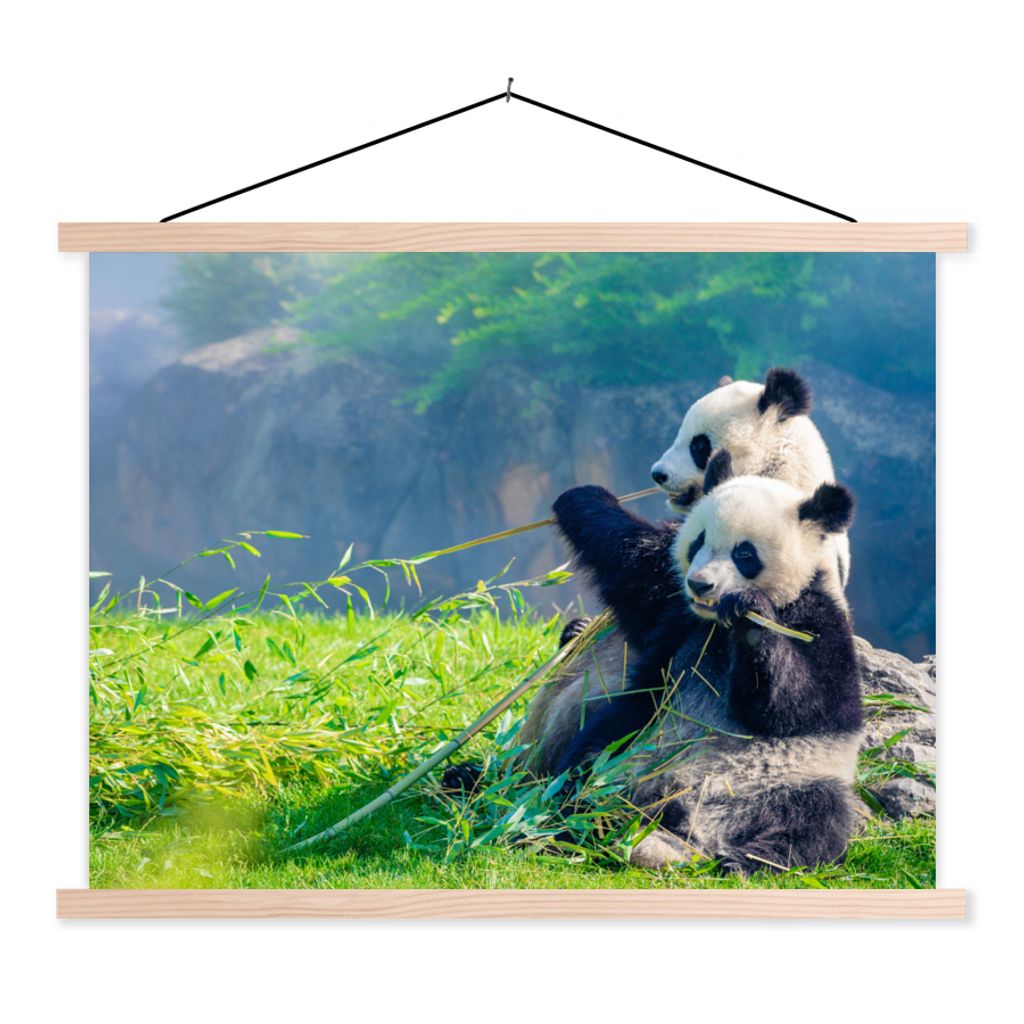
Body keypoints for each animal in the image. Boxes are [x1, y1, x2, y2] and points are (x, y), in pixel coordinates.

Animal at [545, 453, 864, 873]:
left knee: (816, 820)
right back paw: (565, 820)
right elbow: (635, 572)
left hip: (792, 779)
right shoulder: (679, 618)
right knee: (588, 762)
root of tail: (690, 826)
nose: (700, 585)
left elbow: (804, 706)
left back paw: (746, 860)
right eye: (698, 541)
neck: (717, 627)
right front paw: (583, 498)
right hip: (631, 746)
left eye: (744, 554)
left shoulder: (820, 620)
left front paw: (751, 617)